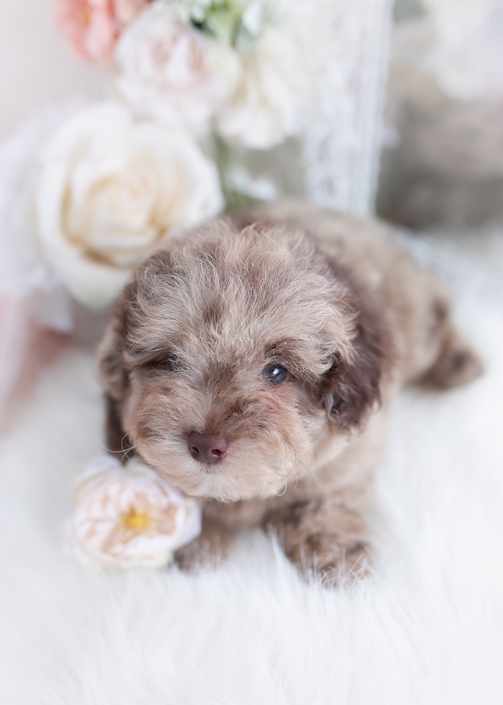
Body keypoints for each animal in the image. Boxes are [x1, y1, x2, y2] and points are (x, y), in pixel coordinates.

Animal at [98, 202, 484, 576]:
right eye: (170, 361)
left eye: (277, 372)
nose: (206, 445)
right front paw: (191, 539)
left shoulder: (352, 452)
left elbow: (331, 494)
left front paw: (333, 547)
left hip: (416, 323)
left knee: (438, 315)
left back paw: (458, 361)